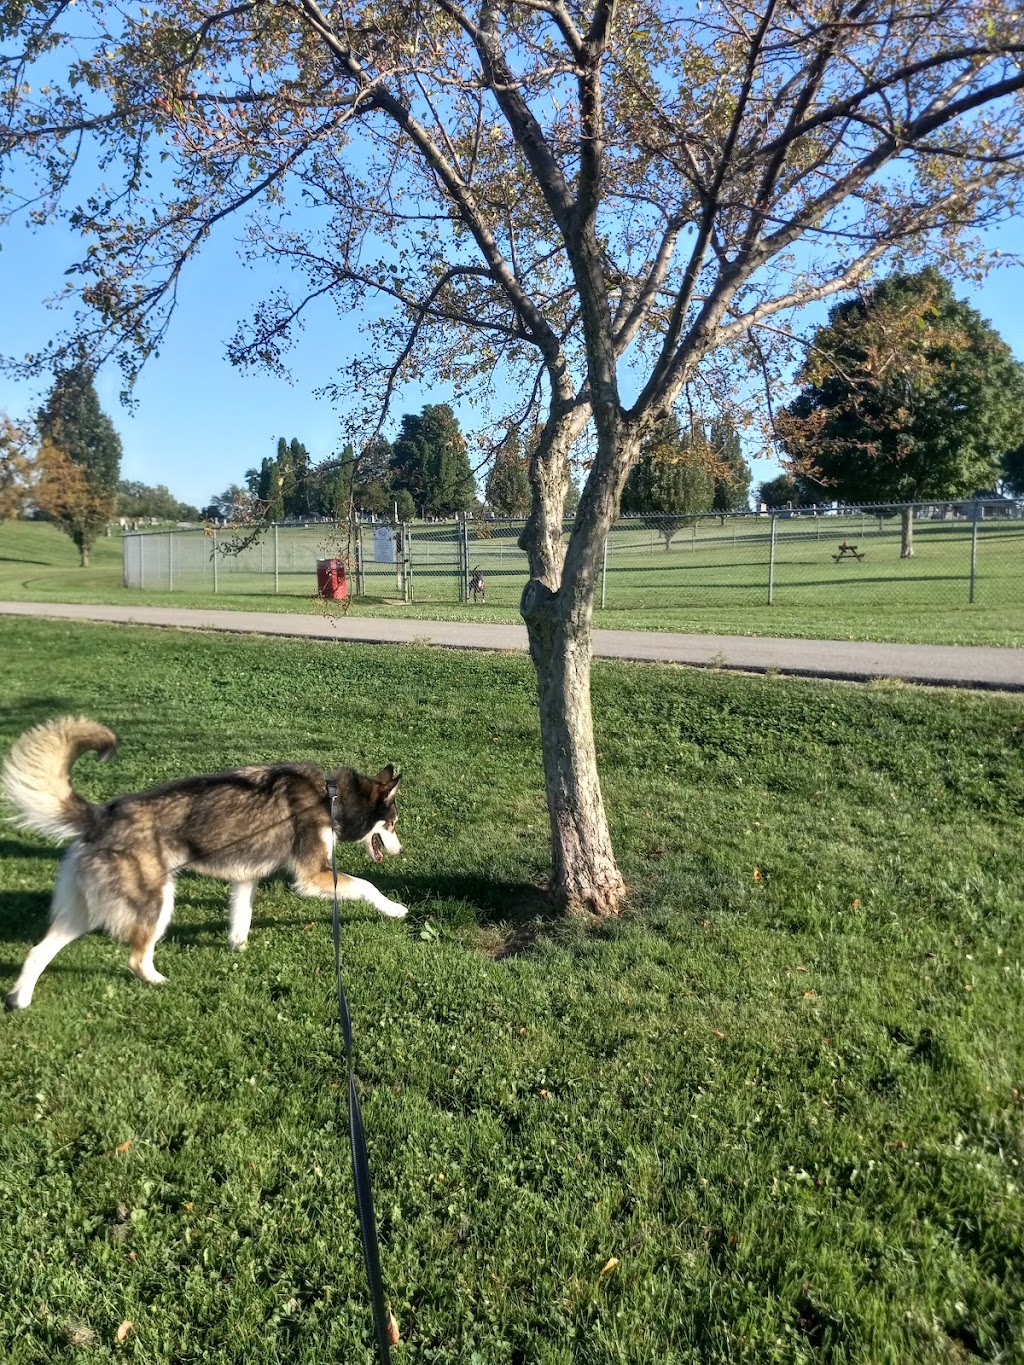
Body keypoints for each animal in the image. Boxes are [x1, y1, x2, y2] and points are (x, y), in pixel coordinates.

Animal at [0, 720, 409, 1010]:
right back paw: (161, 982)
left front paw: (238, 948)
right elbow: (368, 886)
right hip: (157, 902)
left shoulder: (246, 877)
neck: (330, 798)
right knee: (136, 958)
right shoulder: (313, 876)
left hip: (85, 909)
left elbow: (241, 916)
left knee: (38, 951)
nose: (401, 850)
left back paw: (20, 1000)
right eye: (392, 824)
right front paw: (395, 909)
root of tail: (100, 816)